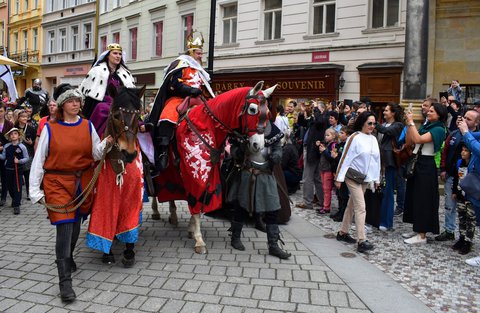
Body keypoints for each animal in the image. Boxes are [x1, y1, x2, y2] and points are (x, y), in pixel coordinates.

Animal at [152, 81, 276, 252]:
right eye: (252, 109)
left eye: (269, 114)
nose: (258, 145)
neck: (207, 124)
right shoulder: (195, 172)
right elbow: (196, 200)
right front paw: (199, 240)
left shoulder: (212, 169)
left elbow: (203, 198)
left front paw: (191, 230)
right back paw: (155, 211)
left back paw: (173, 215)